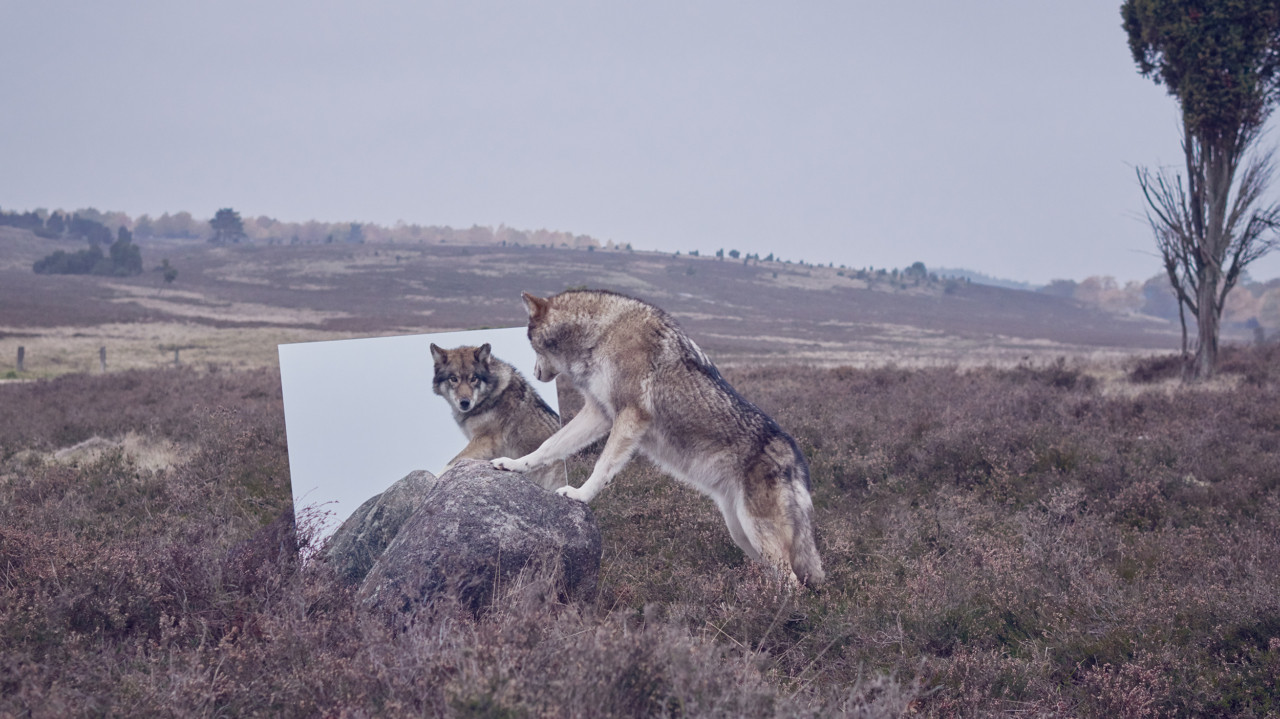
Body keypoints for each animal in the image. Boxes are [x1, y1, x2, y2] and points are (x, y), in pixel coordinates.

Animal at [431, 342, 565, 490]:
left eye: (474, 379)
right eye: (454, 379)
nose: (465, 402)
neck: (490, 397)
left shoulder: (485, 440)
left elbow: (452, 462)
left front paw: (435, 478)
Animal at [491, 290, 825, 587]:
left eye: (532, 347)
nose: (534, 374)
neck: (602, 333)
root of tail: (795, 457)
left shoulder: (630, 415)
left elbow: (603, 466)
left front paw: (580, 495)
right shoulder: (599, 413)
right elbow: (548, 446)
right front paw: (514, 464)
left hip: (757, 532)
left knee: (793, 582)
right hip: (741, 533)